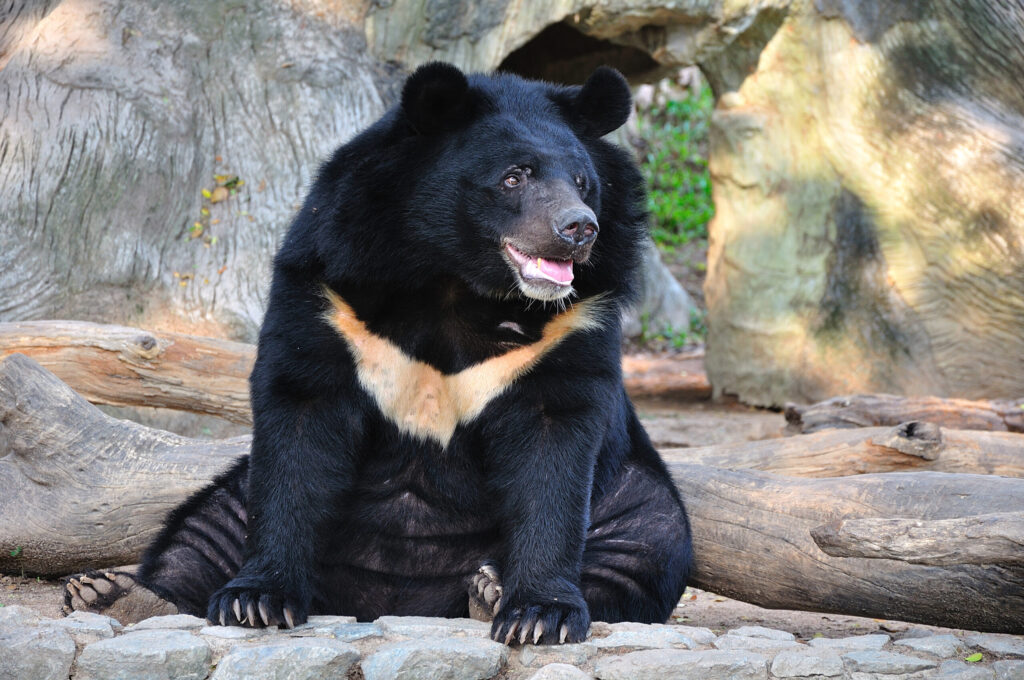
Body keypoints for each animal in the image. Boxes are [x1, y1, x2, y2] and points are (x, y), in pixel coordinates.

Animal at [64, 62, 693, 645]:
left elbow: (554, 446)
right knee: (207, 525)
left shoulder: (574, 319)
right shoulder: (329, 288)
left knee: (647, 542)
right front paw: (256, 602)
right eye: (515, 177)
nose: (578, 229)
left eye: (585, 183)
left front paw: (540, 616)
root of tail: (394, 603)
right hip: (238, 493)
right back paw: (116, 594)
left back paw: (488, 590)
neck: (456, 280)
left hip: (629, 496)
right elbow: (299, 421)